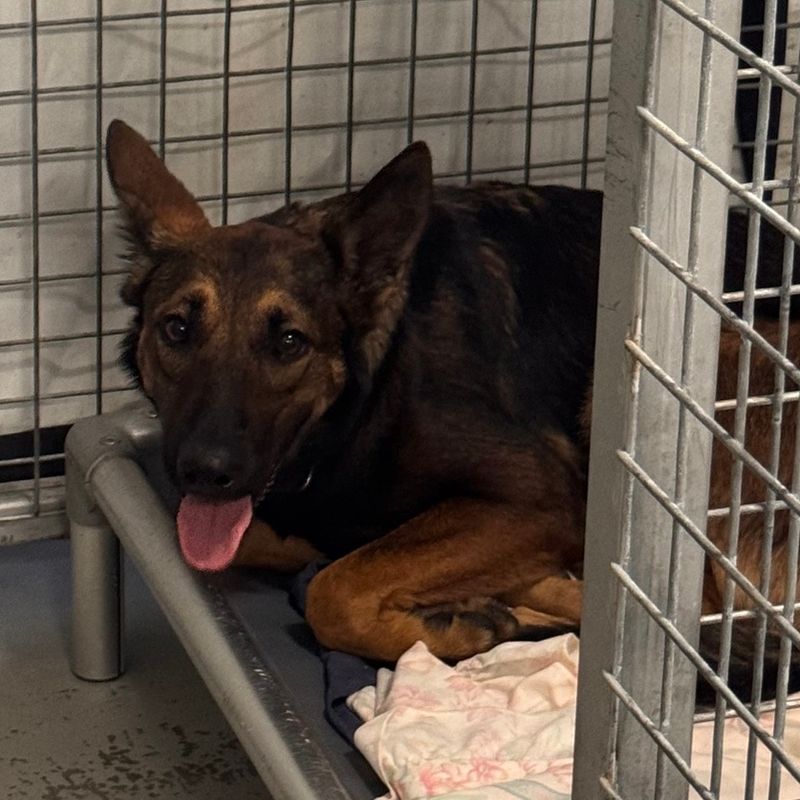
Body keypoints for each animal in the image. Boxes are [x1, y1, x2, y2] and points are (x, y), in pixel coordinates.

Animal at [107, 120, 799, 692]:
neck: (372, 394)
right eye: (177, 330)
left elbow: (335, 589)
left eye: (289, 342)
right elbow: (287, 545)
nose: (205, 472)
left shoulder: (537, 498)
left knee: (688, 619)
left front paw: (452, 624)